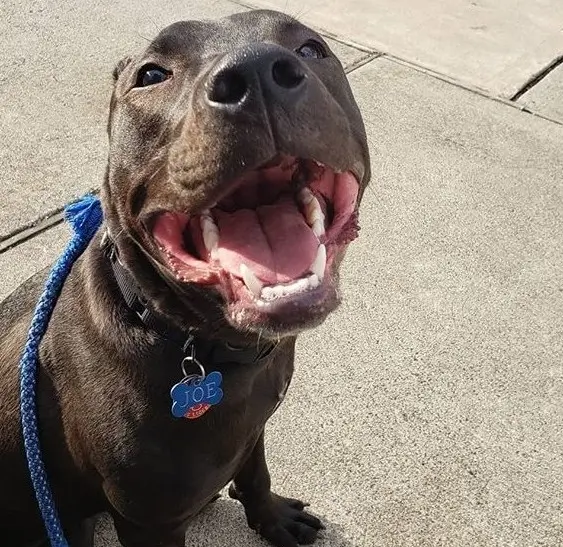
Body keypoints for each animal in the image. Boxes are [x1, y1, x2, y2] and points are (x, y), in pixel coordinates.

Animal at [0, 9, 370, 547]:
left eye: (311, 49)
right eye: (152, 75)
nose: (255, 71)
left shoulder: (253, 426)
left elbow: (256, 473)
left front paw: (272, 516)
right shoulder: (148, 520)